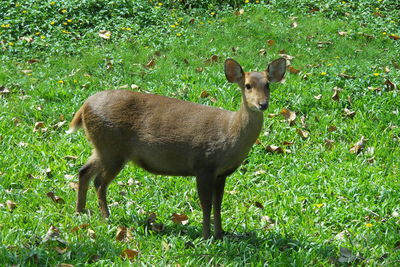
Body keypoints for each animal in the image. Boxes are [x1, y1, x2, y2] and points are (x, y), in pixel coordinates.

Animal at [69, 57, 288, 240]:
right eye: (247, 85)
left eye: (267, 85)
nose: (262, 104)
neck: (230, 134)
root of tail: (84, 106)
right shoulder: (204, 164)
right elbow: (206, 204)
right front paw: (206, 236)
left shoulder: (222, 173)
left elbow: (218, 204)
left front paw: (220, 233)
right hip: (112, 148)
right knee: (99, 182)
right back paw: (106, 217)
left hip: (102, 148)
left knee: (84, 171)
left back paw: (80, 212)